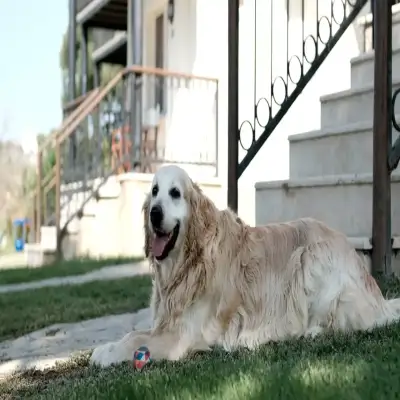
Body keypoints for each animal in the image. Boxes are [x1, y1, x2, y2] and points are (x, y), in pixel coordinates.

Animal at [90, 164, 400, 368]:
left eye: (175, 193)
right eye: (154, 191)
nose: (154, 213)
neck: (188, 260)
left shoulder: (180, 336)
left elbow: (134, 342)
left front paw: (106, 354)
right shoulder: (166, 322)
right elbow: (133, 334)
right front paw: (105, 347)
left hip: (310, 258)